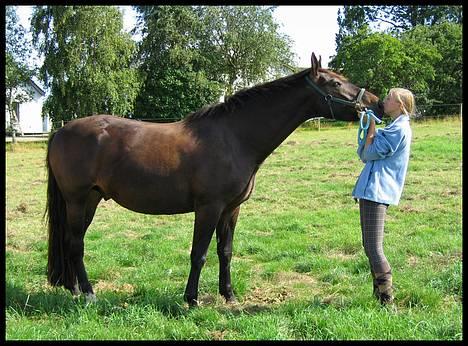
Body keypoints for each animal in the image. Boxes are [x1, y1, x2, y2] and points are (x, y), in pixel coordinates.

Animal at [44, 52, 384, 306]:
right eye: (335, 83)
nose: (377, 102)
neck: (234, 137)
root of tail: (60, 131)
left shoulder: (231, 209)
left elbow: (225, 251)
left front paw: (229, 295)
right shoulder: (208, 208)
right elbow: (200, 253)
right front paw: (192, 299)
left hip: (90, 200)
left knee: (71, 242)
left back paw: (75, 289)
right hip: (77, 200)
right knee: (75, 244)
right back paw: (88, 293)